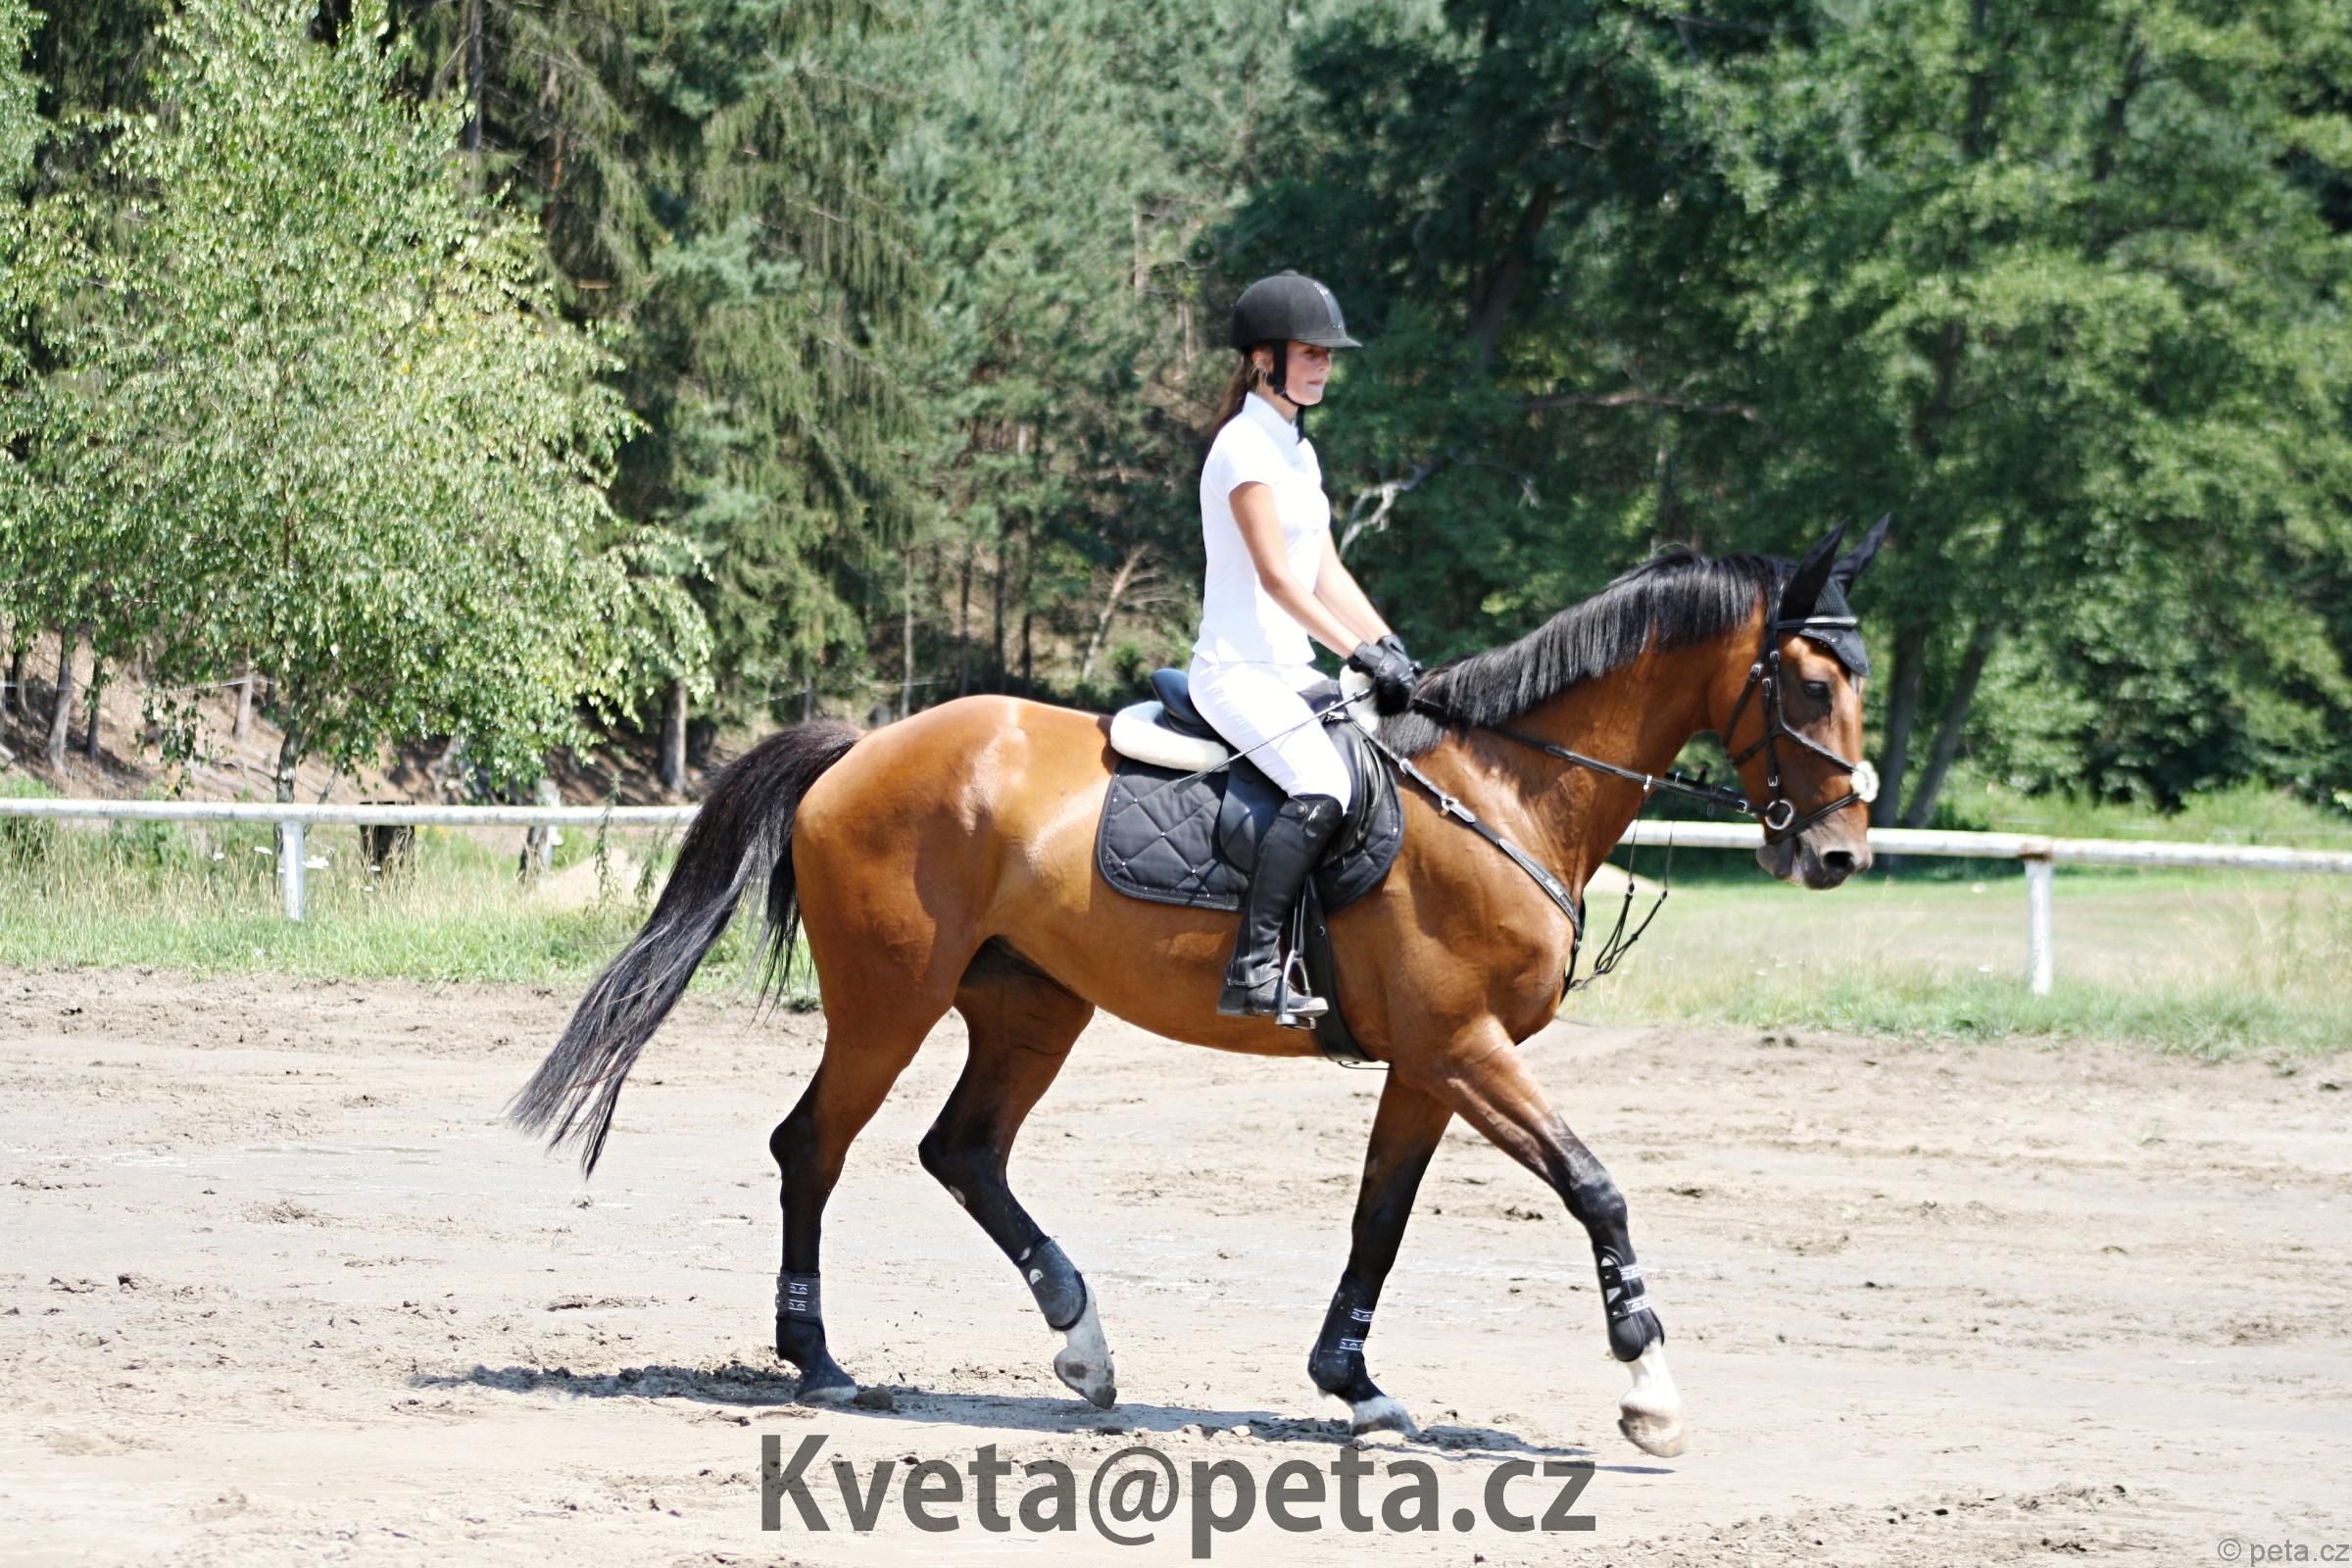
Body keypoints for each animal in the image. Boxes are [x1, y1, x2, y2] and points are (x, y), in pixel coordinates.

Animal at [510, 517, 1889, 1458]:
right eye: (1813, 684)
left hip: (1033, 1004)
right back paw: (822, 1362)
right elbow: (1596, 1186)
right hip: (892, 1001)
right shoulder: (1465, 1046)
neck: (1503, 789)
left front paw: (1354, 1384)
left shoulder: (1429, 1061)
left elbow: (1379, 1221)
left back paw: (1080, 1339)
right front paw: (1648, 1390)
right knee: (815, 1146)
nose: (1839, 857)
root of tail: (864, 745)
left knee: (964, 1151)